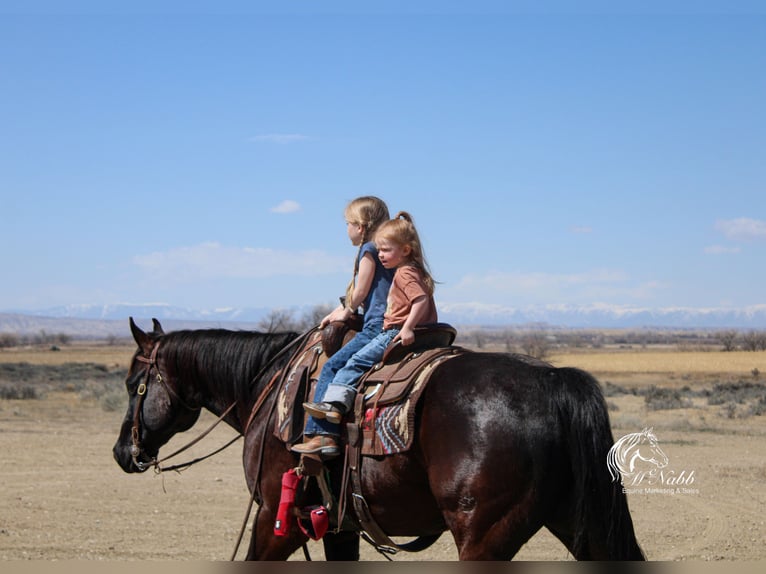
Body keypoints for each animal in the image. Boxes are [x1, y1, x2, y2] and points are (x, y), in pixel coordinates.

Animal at [111, 320, 644, 564]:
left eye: (134, 383)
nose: (122, 452)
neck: (266, 383)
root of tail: (554, 380)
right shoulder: (337, 523)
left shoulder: (274, 518)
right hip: (582, 521)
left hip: (485, 536)